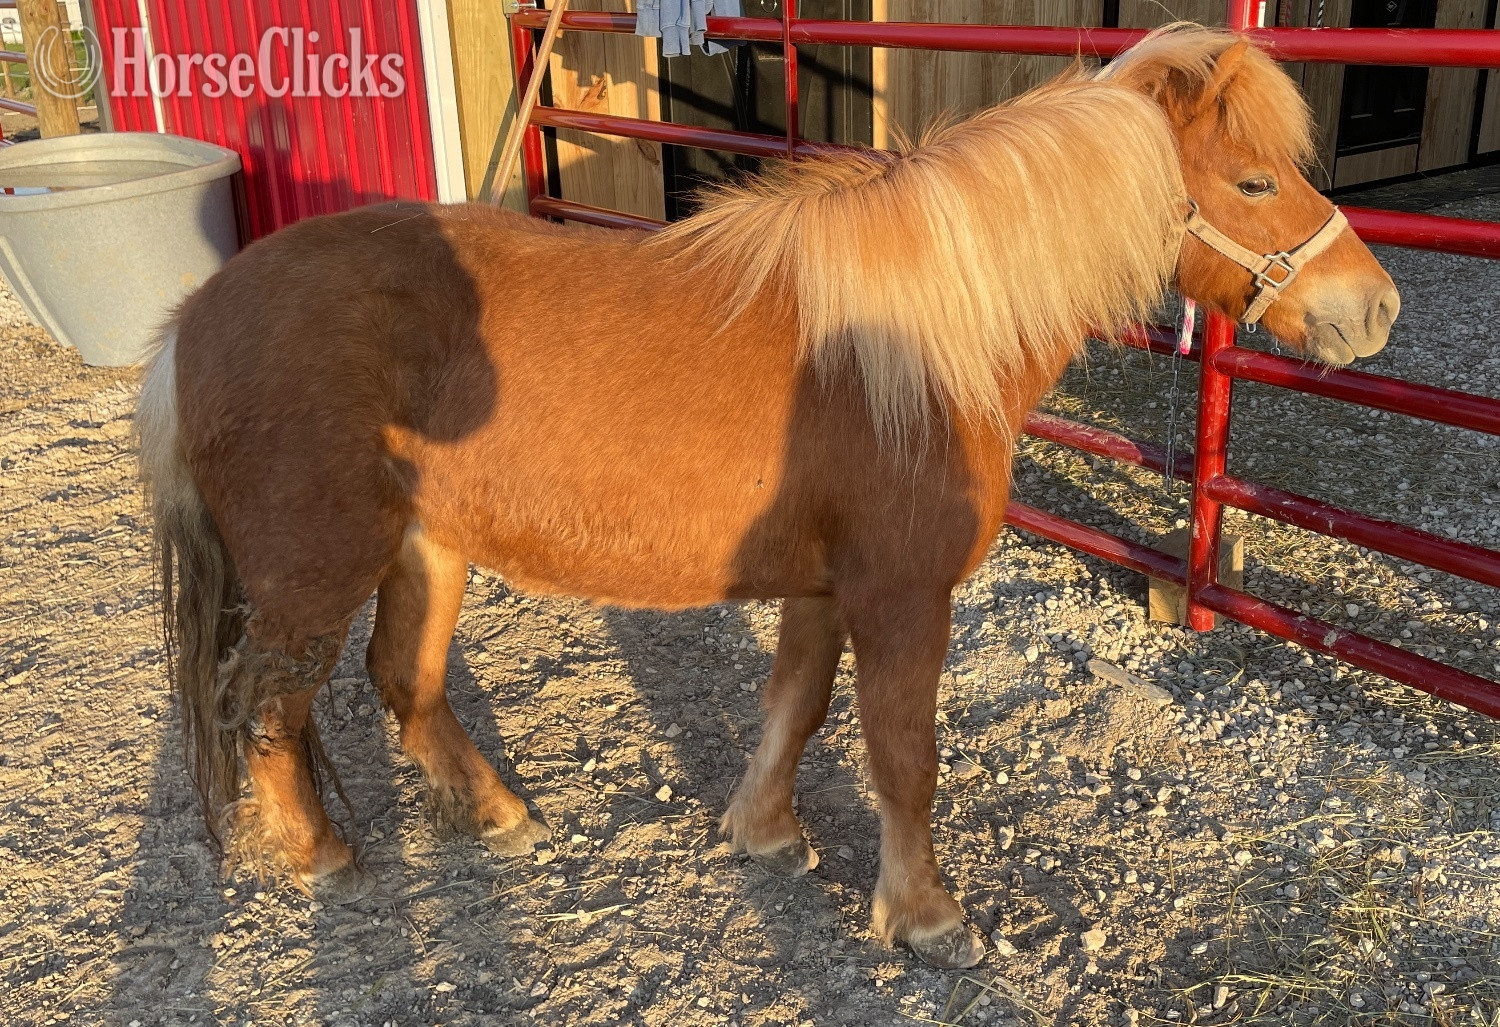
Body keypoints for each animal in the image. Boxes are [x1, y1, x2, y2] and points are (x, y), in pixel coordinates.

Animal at [136, 25, 1399, 969]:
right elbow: (902, 752)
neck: (917, 343)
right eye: (1253, 179)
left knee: (403, 681)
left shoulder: (826, 587)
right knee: (266, 703)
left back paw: (495, 811)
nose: (1374, 308)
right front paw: (928, 917)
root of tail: (193, 320)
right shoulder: (900, 595)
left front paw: (765, 834)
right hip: (314, 575)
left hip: (426, 547)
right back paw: (322, 856)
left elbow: (797, 705)